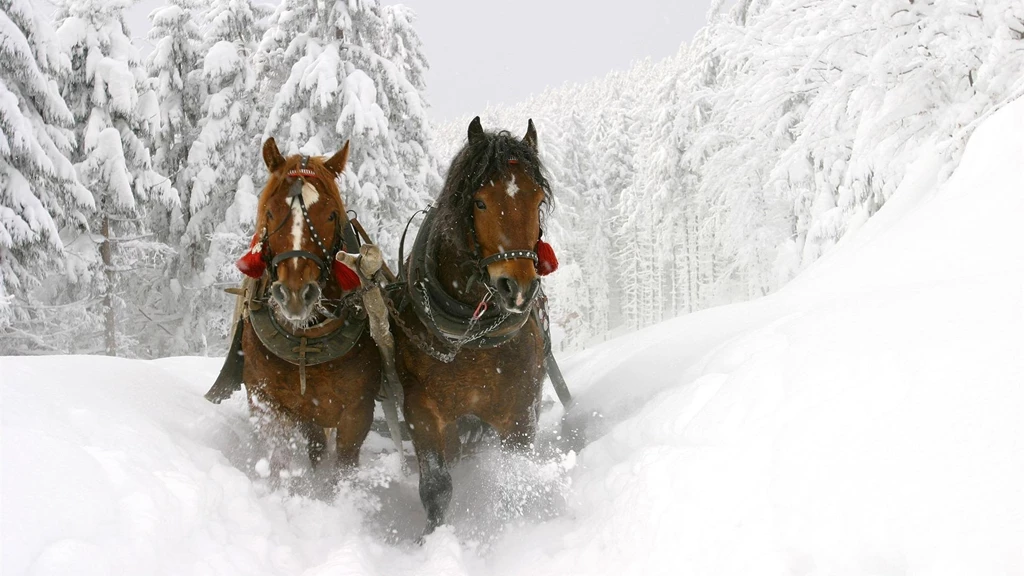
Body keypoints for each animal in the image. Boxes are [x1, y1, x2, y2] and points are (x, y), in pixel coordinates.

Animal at [215, 138, 382, 475]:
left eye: (331, 215)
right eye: (269, 212)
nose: (294, 293)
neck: (307, 339)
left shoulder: (358, 411)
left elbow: (343, 468)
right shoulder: (267, 402)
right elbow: (279, 462)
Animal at [391, 117, 560, 533]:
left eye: (538, 200)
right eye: (480, 201)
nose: (518, 287)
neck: (470, 337)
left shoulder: (520, 412)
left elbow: (516, 478)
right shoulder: (421, 408)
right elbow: (436, 487)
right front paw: (430, 539)